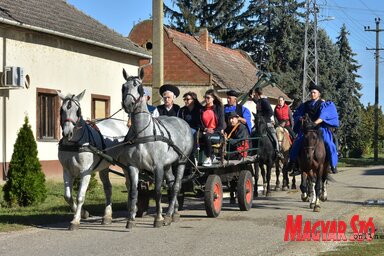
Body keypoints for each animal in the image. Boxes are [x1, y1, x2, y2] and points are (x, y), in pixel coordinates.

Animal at [57, 90, 128, 230]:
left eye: (78, 111)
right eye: (62, 110)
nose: (67, 133)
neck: (75, 144)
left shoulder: (86, 172)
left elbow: (80, 196)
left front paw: (75, 221)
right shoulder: (66, 171)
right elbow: (68, 196)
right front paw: (83, 213)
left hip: (126, 164)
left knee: (130, 184)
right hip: (104, 165)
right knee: (108, 188)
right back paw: (107, 216)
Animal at [119, 68, 194, 228]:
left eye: (139, 87)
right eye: (123, 87)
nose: (128, 104)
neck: (143, 133)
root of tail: (182, 121)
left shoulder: (157, 166)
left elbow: (158, 192)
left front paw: (158, 219)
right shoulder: (133, 166)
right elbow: (133, 192)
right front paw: (130, 219)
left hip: (181, 161)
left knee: (176, 186)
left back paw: (168, 215)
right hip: (168, 165)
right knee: (171, 184)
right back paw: (173, 213)